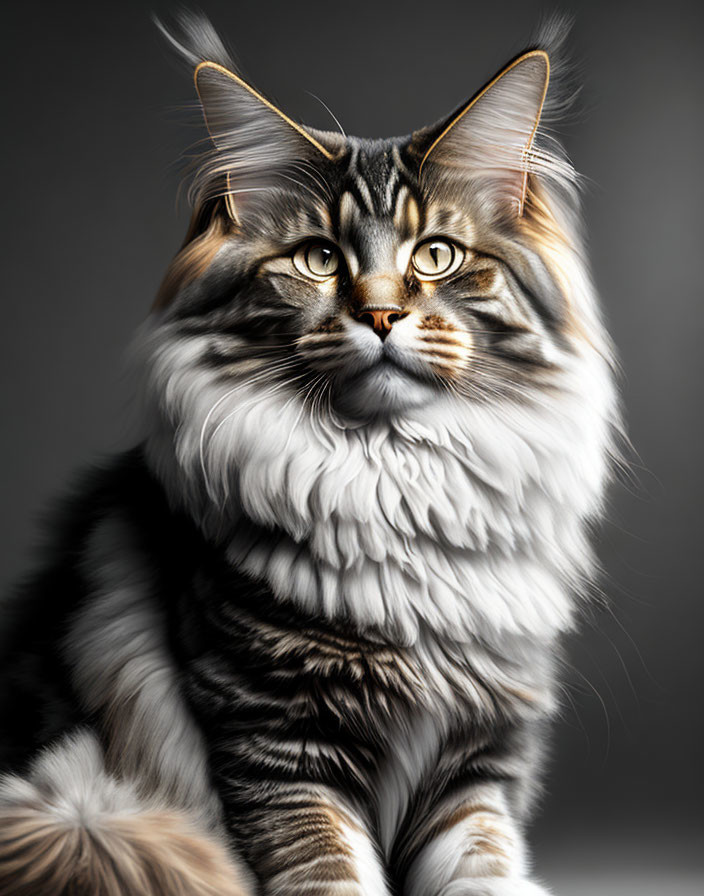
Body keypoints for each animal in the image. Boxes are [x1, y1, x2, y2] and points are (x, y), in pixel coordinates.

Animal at [0, 12, 616, 896]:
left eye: (436, 256)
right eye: (319, 259)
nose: (382, 315)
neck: (397, 486)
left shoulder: (475, 766)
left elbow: (485, 869)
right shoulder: (279, 748)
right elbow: (333, 873)